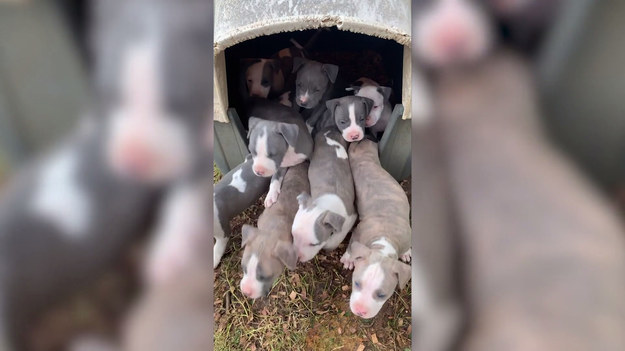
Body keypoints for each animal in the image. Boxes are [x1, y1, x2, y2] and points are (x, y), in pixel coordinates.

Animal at [338, 139, 412, 320]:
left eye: (381, 295)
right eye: (356, 283)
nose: (360, 310)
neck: (384, 239)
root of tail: (363, 142)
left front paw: (407, 252)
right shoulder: (358, 232)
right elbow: (352, 246)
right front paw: (348, 259)